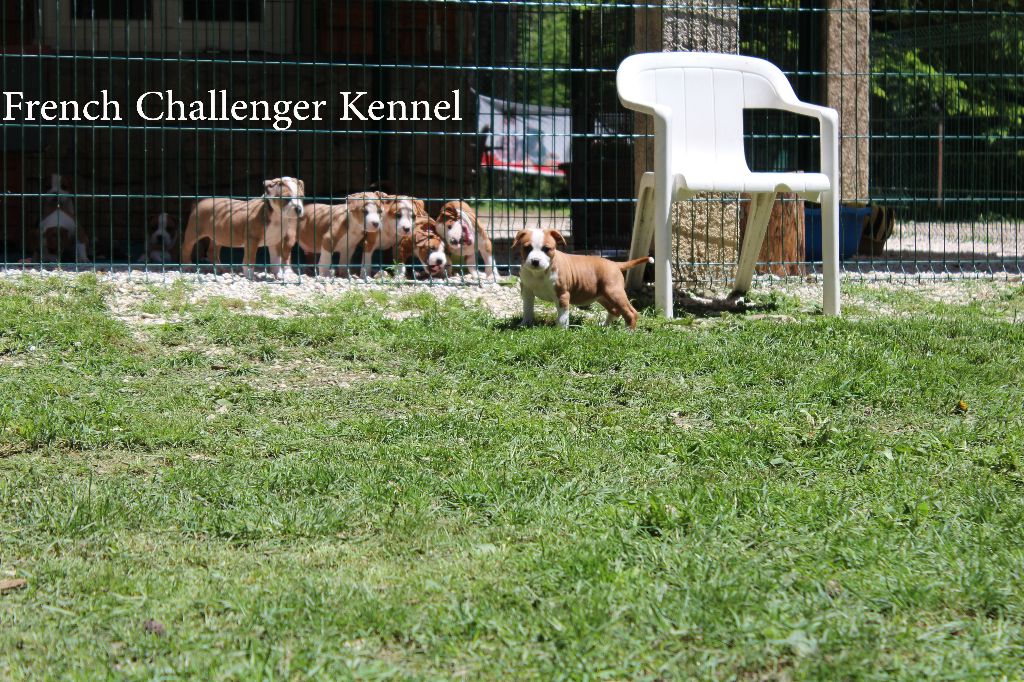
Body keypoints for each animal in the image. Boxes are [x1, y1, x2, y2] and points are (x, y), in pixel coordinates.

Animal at [512, 228, 651, 329]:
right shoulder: (527, 292)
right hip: (603, 296)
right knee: (615, 310)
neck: (538, 273)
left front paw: (560, 330)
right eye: (527, 248)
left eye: (546, 249)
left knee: (631, 312)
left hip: (615, 293)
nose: (535, 261)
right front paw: (524, 324)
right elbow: (527, 309)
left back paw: (628, 332)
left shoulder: (562, 295)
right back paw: (604, 326)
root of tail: (615, 264)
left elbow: (562, 315)